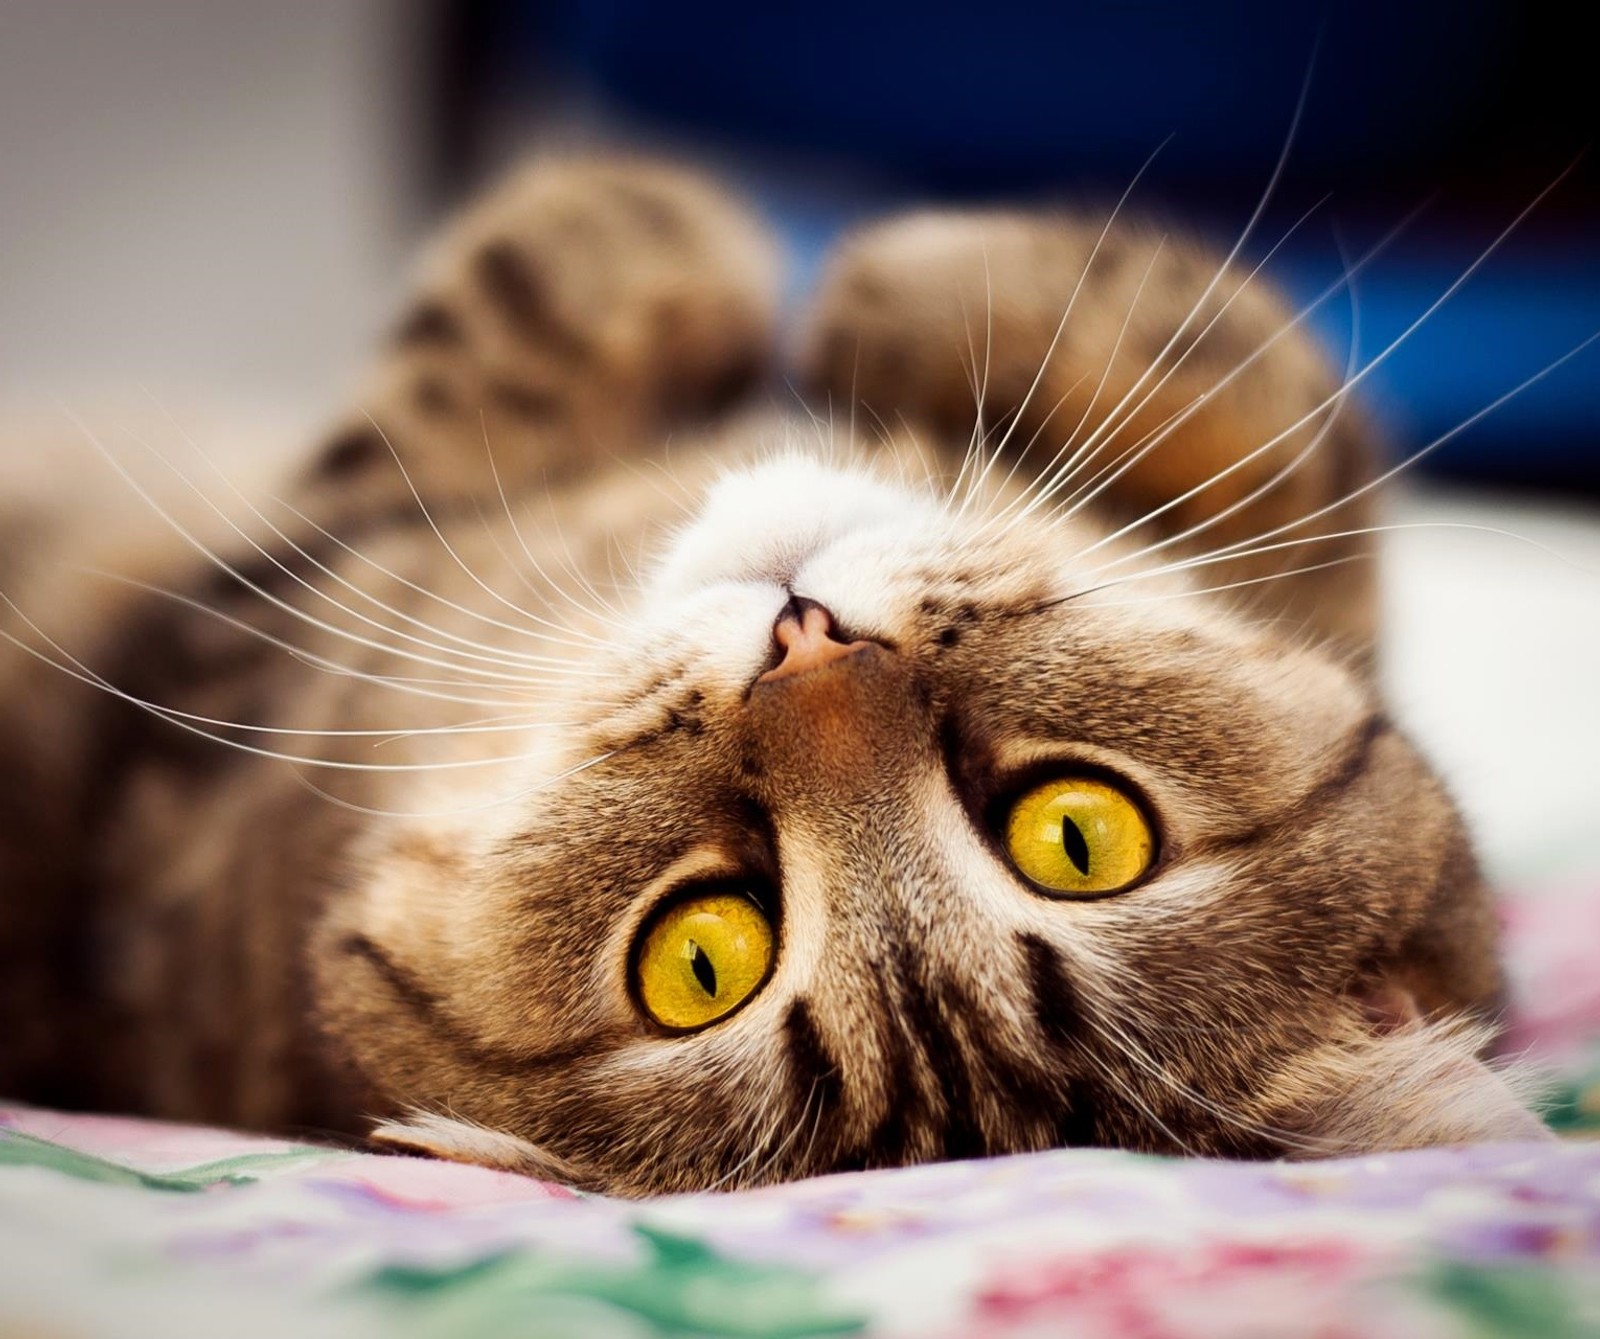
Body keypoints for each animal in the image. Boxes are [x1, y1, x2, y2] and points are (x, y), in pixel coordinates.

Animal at [0, 156, 1548, 1190]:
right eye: (703, 955)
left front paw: (820, 266)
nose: (808, 642)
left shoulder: (241, 645)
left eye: (1076, 837)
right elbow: (1270, 408)